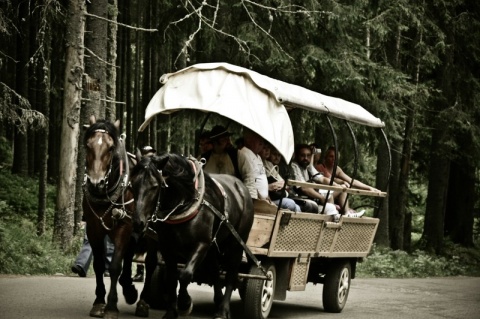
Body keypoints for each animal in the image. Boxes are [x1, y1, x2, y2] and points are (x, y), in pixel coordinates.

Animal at [82, 117, 139, 319]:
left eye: (111, 147)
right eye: (87, 145)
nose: (95, 183)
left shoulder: (124, 226)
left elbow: (114, 266)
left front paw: (112, 305)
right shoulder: (93, 228)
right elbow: (99, 265)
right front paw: (99, 301)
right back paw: (128, 288)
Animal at [129, 154, 253, 318]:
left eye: (155, 186)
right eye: (132, 185)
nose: (138, 222)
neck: (185, 203)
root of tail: (241, 187)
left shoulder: (201, 244)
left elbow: (185, 274)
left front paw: (184, 303)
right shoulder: (167, 246)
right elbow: (171, 277)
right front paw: (171, 311)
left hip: (237, 243)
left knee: (231, 273)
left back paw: (223, 309)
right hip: (213, 247)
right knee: (214, 270)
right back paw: (218, 301)